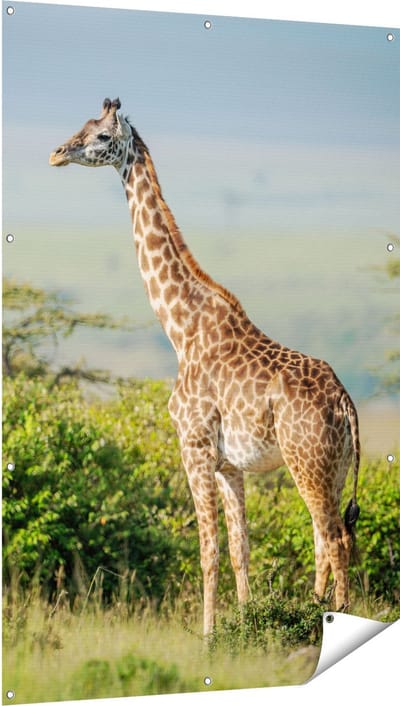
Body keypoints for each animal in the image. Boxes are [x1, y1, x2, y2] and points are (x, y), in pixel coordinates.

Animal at [49, 98, 360, 636]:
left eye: (101, 137)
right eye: (83, 127)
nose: (57, 153)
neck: (180, 328)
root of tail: (345, 401)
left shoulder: (192, 446)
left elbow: (207, 550)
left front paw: (209, 635)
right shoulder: (228, 464)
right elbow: (239, 550)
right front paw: (246, 622)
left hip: (307, 462)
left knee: (333, 538)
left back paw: (329, 617)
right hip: (334, 467)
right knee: (327, 537)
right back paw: (311, 608)